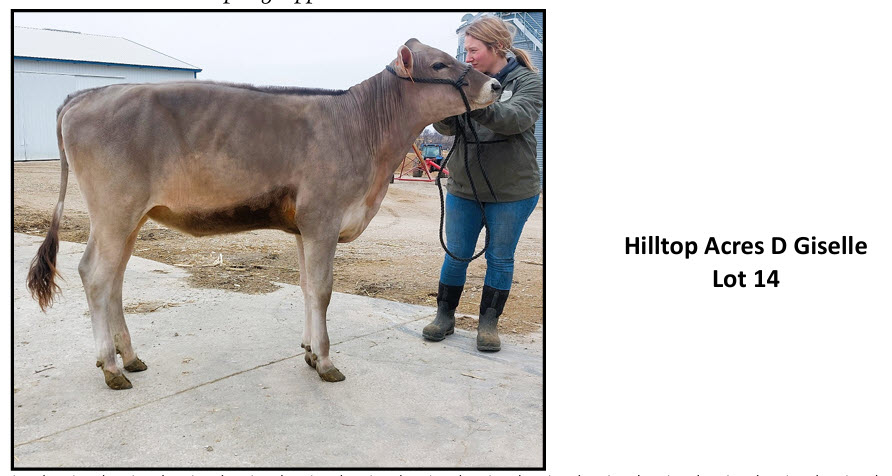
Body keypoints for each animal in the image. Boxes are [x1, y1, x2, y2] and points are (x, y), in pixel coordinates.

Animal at [26, 39, 501, 389]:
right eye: (439, 64)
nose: (495, 85)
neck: (364, 130)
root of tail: (87, 94)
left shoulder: (304, 227)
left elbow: (308, 288)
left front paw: (309, 351)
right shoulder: (323, 219)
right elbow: (323, 290)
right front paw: (326, 361)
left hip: (130, 218)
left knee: (115, 280)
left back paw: (130, 357)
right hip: (114, 210)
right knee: (95, 275)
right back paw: (110, 367)